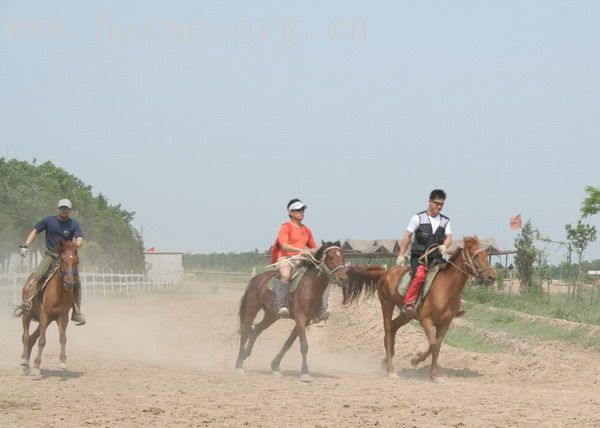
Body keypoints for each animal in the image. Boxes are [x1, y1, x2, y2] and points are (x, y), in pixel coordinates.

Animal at [15, 241, 79, 378]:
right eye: (62, 260)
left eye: (77, 261)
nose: (70, 283)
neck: (58, 292)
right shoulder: (44, 315)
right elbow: (42, 341)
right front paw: (37, 368)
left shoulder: (62, 316)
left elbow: (62, 338)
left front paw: (62, 362)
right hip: (27, 315)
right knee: (26, 336)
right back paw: (25, 361)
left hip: (47, 320)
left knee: (32, 338)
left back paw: (27, 363)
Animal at [234, 239, 346, 382]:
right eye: (331, 257)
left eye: (343, 257)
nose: (343, 278)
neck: (310, 287)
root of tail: (256, 279)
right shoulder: (300, 317)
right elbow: (304, 345)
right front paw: (305, 373)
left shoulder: (305, 320)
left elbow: (288, 343)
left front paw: (275, 366)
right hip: (252, 309)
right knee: (245, 332)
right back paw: (239, 365)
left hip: (271, 316)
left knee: (257, 329)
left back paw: (245, 355)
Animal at [344, 237, 494, 382]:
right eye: (476, 255)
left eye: (486, 255)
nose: (491, 276)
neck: (446, 289)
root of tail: (385, 272)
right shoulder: (426, 321)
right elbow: (433, 344)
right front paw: (415, 360)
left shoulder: (444, 324)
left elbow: (437, 347)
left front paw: (433, 376)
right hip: (387, 305)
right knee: (387, 334)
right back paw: (391, 371)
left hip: (406, 314)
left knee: (393, 327)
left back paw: (386, 361)